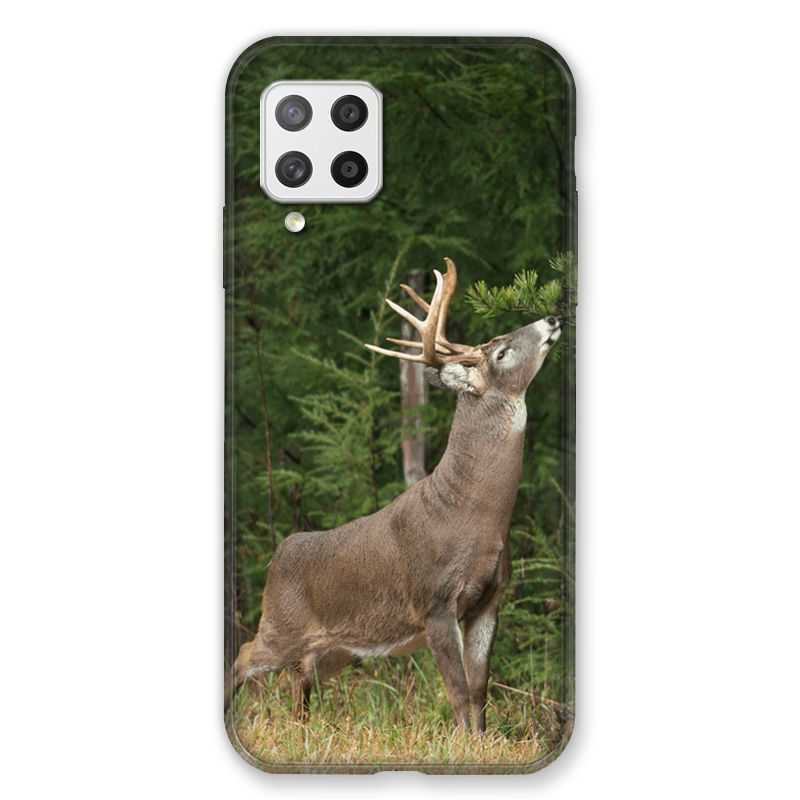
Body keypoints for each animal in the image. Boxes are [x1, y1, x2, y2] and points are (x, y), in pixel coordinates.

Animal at [227, 257, 561, 732]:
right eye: (500, 352)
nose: (552, 318)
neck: (475, 514)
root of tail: (278, 555)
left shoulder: (490, 599)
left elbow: (480, 690)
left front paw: (482, 741)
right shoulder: (435, 601)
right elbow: (458, 692)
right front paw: (463, 743)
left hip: (332, 649)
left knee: (299, 681)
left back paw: (302, 730)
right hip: (280, 624)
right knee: (242, 656)